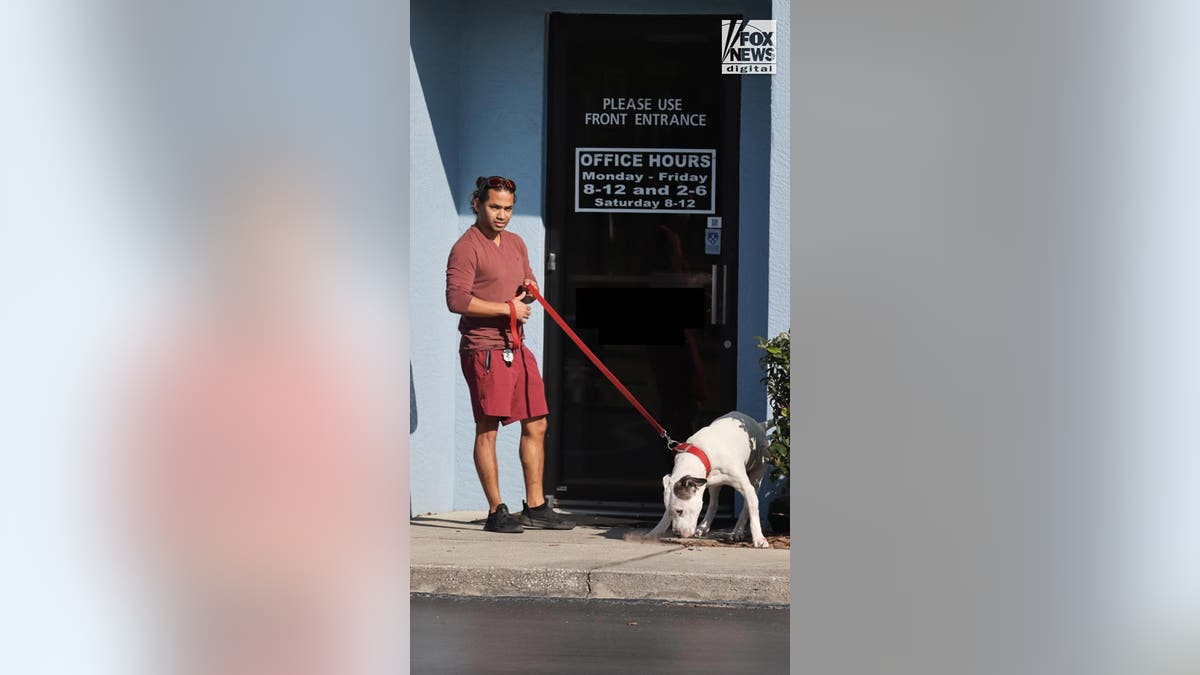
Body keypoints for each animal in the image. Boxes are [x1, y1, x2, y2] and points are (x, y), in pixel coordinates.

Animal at [648, 410, 768, 547]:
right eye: (669, 511)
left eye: (680, 511)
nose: (677, 534)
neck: (698, 456)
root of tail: (759, 425)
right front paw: (655, 532)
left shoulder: (746, 487)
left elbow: (752, 511)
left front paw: (759, 538)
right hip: (714, 485)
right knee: (714, 503)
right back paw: (703, 527)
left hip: (757, 474)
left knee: (746, 506)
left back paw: (737, 531)